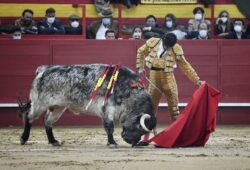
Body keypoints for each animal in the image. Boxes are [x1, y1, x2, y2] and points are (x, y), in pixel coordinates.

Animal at [18, 63, 156, 147]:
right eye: (139, 128)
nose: (132, 142)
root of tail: (44, 70)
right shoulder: (107, 109)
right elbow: (109, 127)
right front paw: (112, 143)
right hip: (39, 103)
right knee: (29, 116)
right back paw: (24, 138)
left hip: (58, 107)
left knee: (47, 121)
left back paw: (53, 141)